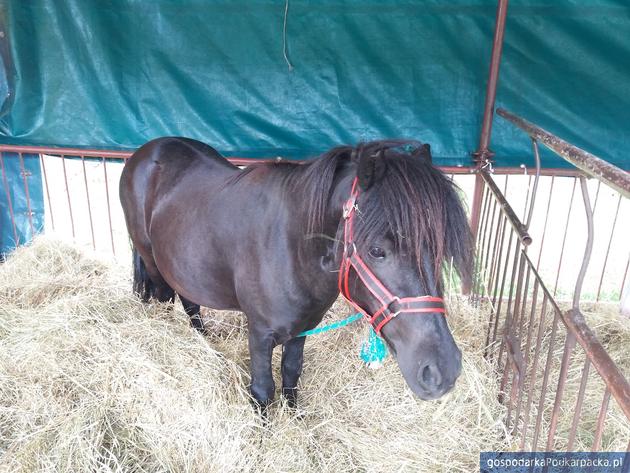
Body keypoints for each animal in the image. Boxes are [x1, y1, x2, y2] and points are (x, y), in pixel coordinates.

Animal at [118, 137, 474, 410]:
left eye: (438, 247)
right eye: (376, 250)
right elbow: (263, 390)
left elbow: (291, 374)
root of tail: (146, 151)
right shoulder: (259, 333)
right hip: (153, 265)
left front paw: (294, 416)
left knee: (190, 302)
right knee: (166, 300)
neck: (289, 247)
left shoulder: (303, 328)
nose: (443, 370)